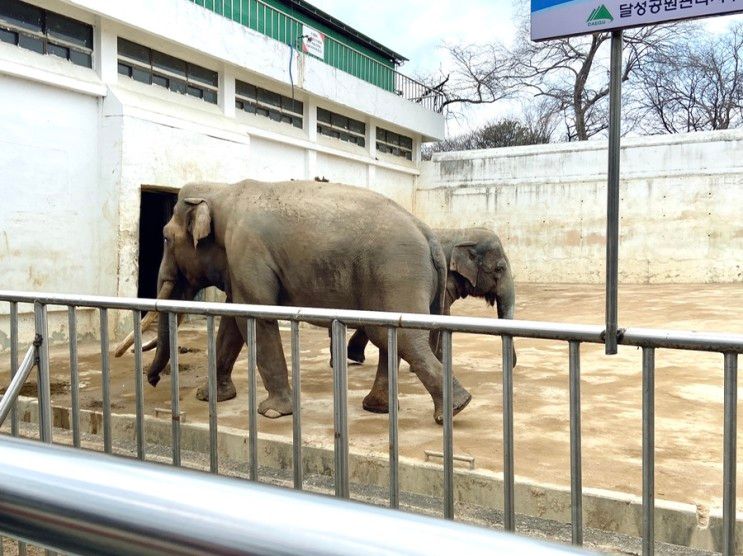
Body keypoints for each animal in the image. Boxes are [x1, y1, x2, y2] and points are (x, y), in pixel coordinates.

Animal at [133, 180, 470, 424]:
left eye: (165, 238)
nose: (152, 379)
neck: (222, 191)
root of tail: (428, 234)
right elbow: (232, 321)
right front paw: (209, 397)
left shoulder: (246, 250)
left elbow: (254, 317)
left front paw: (271, 412)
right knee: (388, 336)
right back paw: (381, 408)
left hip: (396, 273)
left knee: (401, 336)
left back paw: (454, 410)